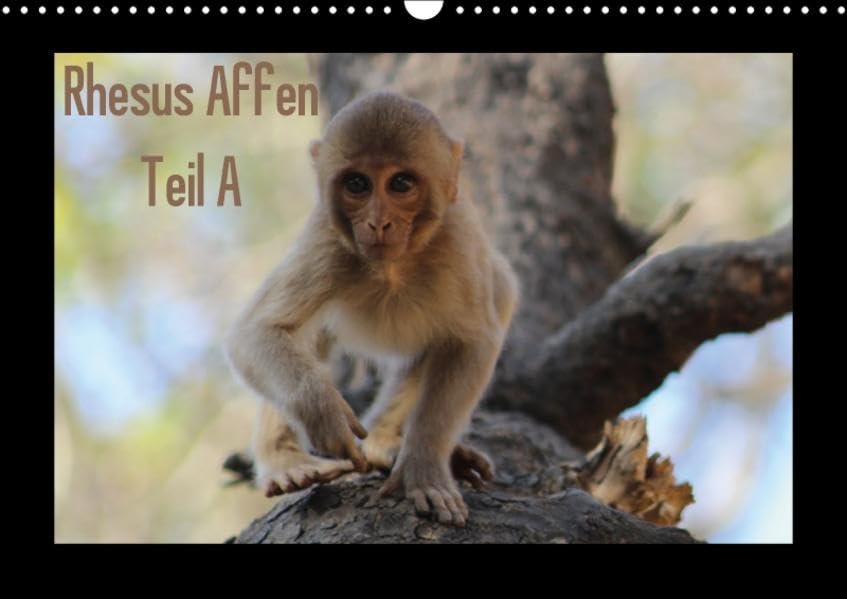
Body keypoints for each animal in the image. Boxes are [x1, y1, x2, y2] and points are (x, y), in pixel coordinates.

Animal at [225, 91, 519, 527]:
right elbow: (258, 331)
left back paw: (385, 442)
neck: (393, 267)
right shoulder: (327, 241)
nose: (379, 223)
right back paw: (287, 462)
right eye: (357, 184)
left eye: (401, 183)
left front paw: (424, 467)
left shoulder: (459, 243)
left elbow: (471, 342)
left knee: (500, 291)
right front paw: (324, 414)